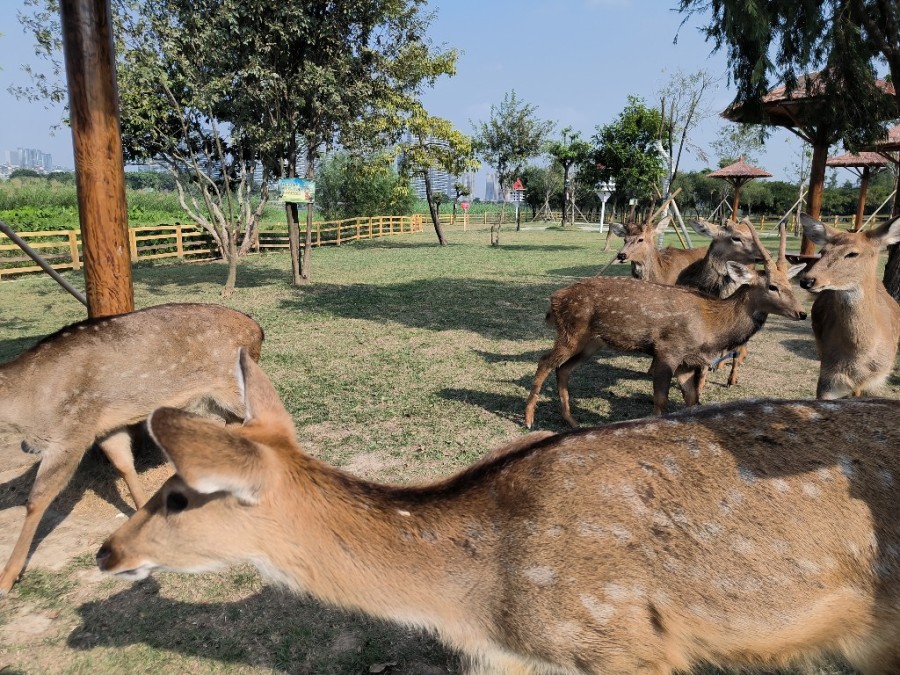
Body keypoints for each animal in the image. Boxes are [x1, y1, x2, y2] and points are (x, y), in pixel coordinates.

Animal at [0, 304, 264, 596]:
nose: (26, 446)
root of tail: (257, 330)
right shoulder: (105, 427)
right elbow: (124, 464)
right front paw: (141, 513)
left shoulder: (70, 434)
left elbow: (37, 500)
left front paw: (6, 579)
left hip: (232, 387)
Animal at [520, 226, 800, 428]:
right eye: (772, 286)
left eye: (790, 284)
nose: (801, 312)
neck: (711, 325)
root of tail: (555, 299)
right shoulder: (668, 349)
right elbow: (660, 402)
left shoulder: (687, 362)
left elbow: (693, 401)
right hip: (571, 331)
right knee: (544, 362)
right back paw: (529, 419)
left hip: (591, 342)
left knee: (563, 369)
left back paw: (572, 421)